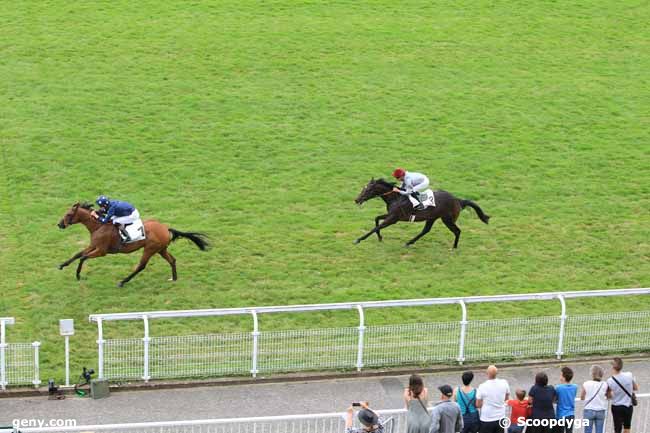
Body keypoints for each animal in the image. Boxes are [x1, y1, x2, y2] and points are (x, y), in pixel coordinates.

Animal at [58, 202, 209, 286]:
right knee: (172, 260)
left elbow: (83, 257)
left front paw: (78, 275)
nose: (59, 224)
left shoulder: (101, 251)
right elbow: (78, 254)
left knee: (141, 266)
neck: (98, 226)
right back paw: (174, 278)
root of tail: (166, 228)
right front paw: (62, 265)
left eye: (69, 214)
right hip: (161, 249)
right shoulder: (93, 246)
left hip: (149, 249)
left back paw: (123, 282)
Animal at [354, 178, 486, 246]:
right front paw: (380, 237)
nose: (357, 200)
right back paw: (409, 242)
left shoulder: (393, 219)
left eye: (367, 190)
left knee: (457, 231)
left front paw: (359, 239)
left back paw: (454, 248)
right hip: (432, 218)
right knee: (425, 230)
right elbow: (376, 219)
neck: (396, 198)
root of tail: (458, 200)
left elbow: (376, 227)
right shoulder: (391, 216)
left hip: (447, 219)